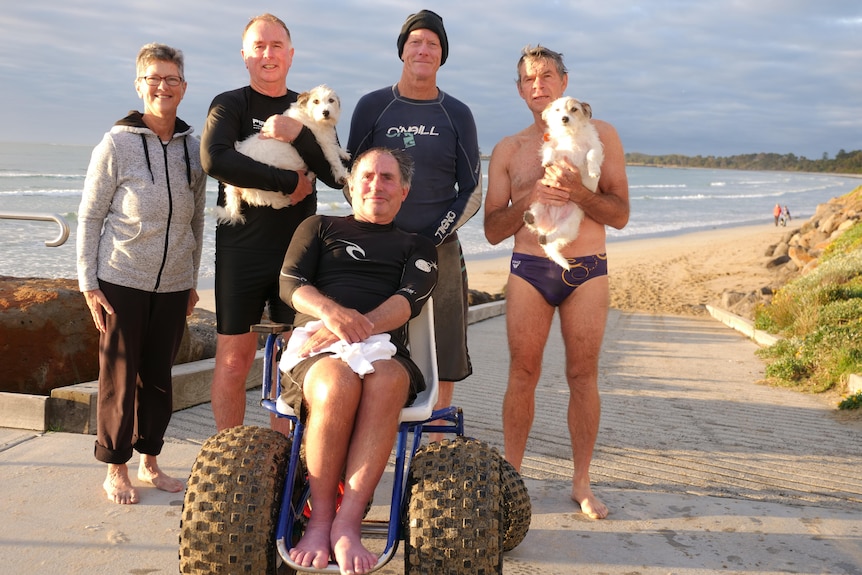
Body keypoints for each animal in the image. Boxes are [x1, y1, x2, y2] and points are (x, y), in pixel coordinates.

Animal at [216, 85, 352, 225]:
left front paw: (343, 153)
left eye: (331, 100)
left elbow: (336, 148)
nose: (326, 112)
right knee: (276, 203)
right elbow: (334, 158)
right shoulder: (324, 143)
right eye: (316, 101)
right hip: (264, 189)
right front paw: (342, 174)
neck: (309, 115)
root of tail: (232, 187)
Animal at [524, 97, 604, 270]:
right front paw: (547, 161)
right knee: (534, 225)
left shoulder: (594, 146)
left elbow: (591, 154)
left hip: (569, 225)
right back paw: (530, 218)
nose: (564, 119)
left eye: (574, 109)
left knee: (554, 235)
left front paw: (593, 171)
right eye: (557, 110)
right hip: (539, 205)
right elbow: (550, 150)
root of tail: (550, 224)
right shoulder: (551, 146)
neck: (569, 135)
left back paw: (545, 237)